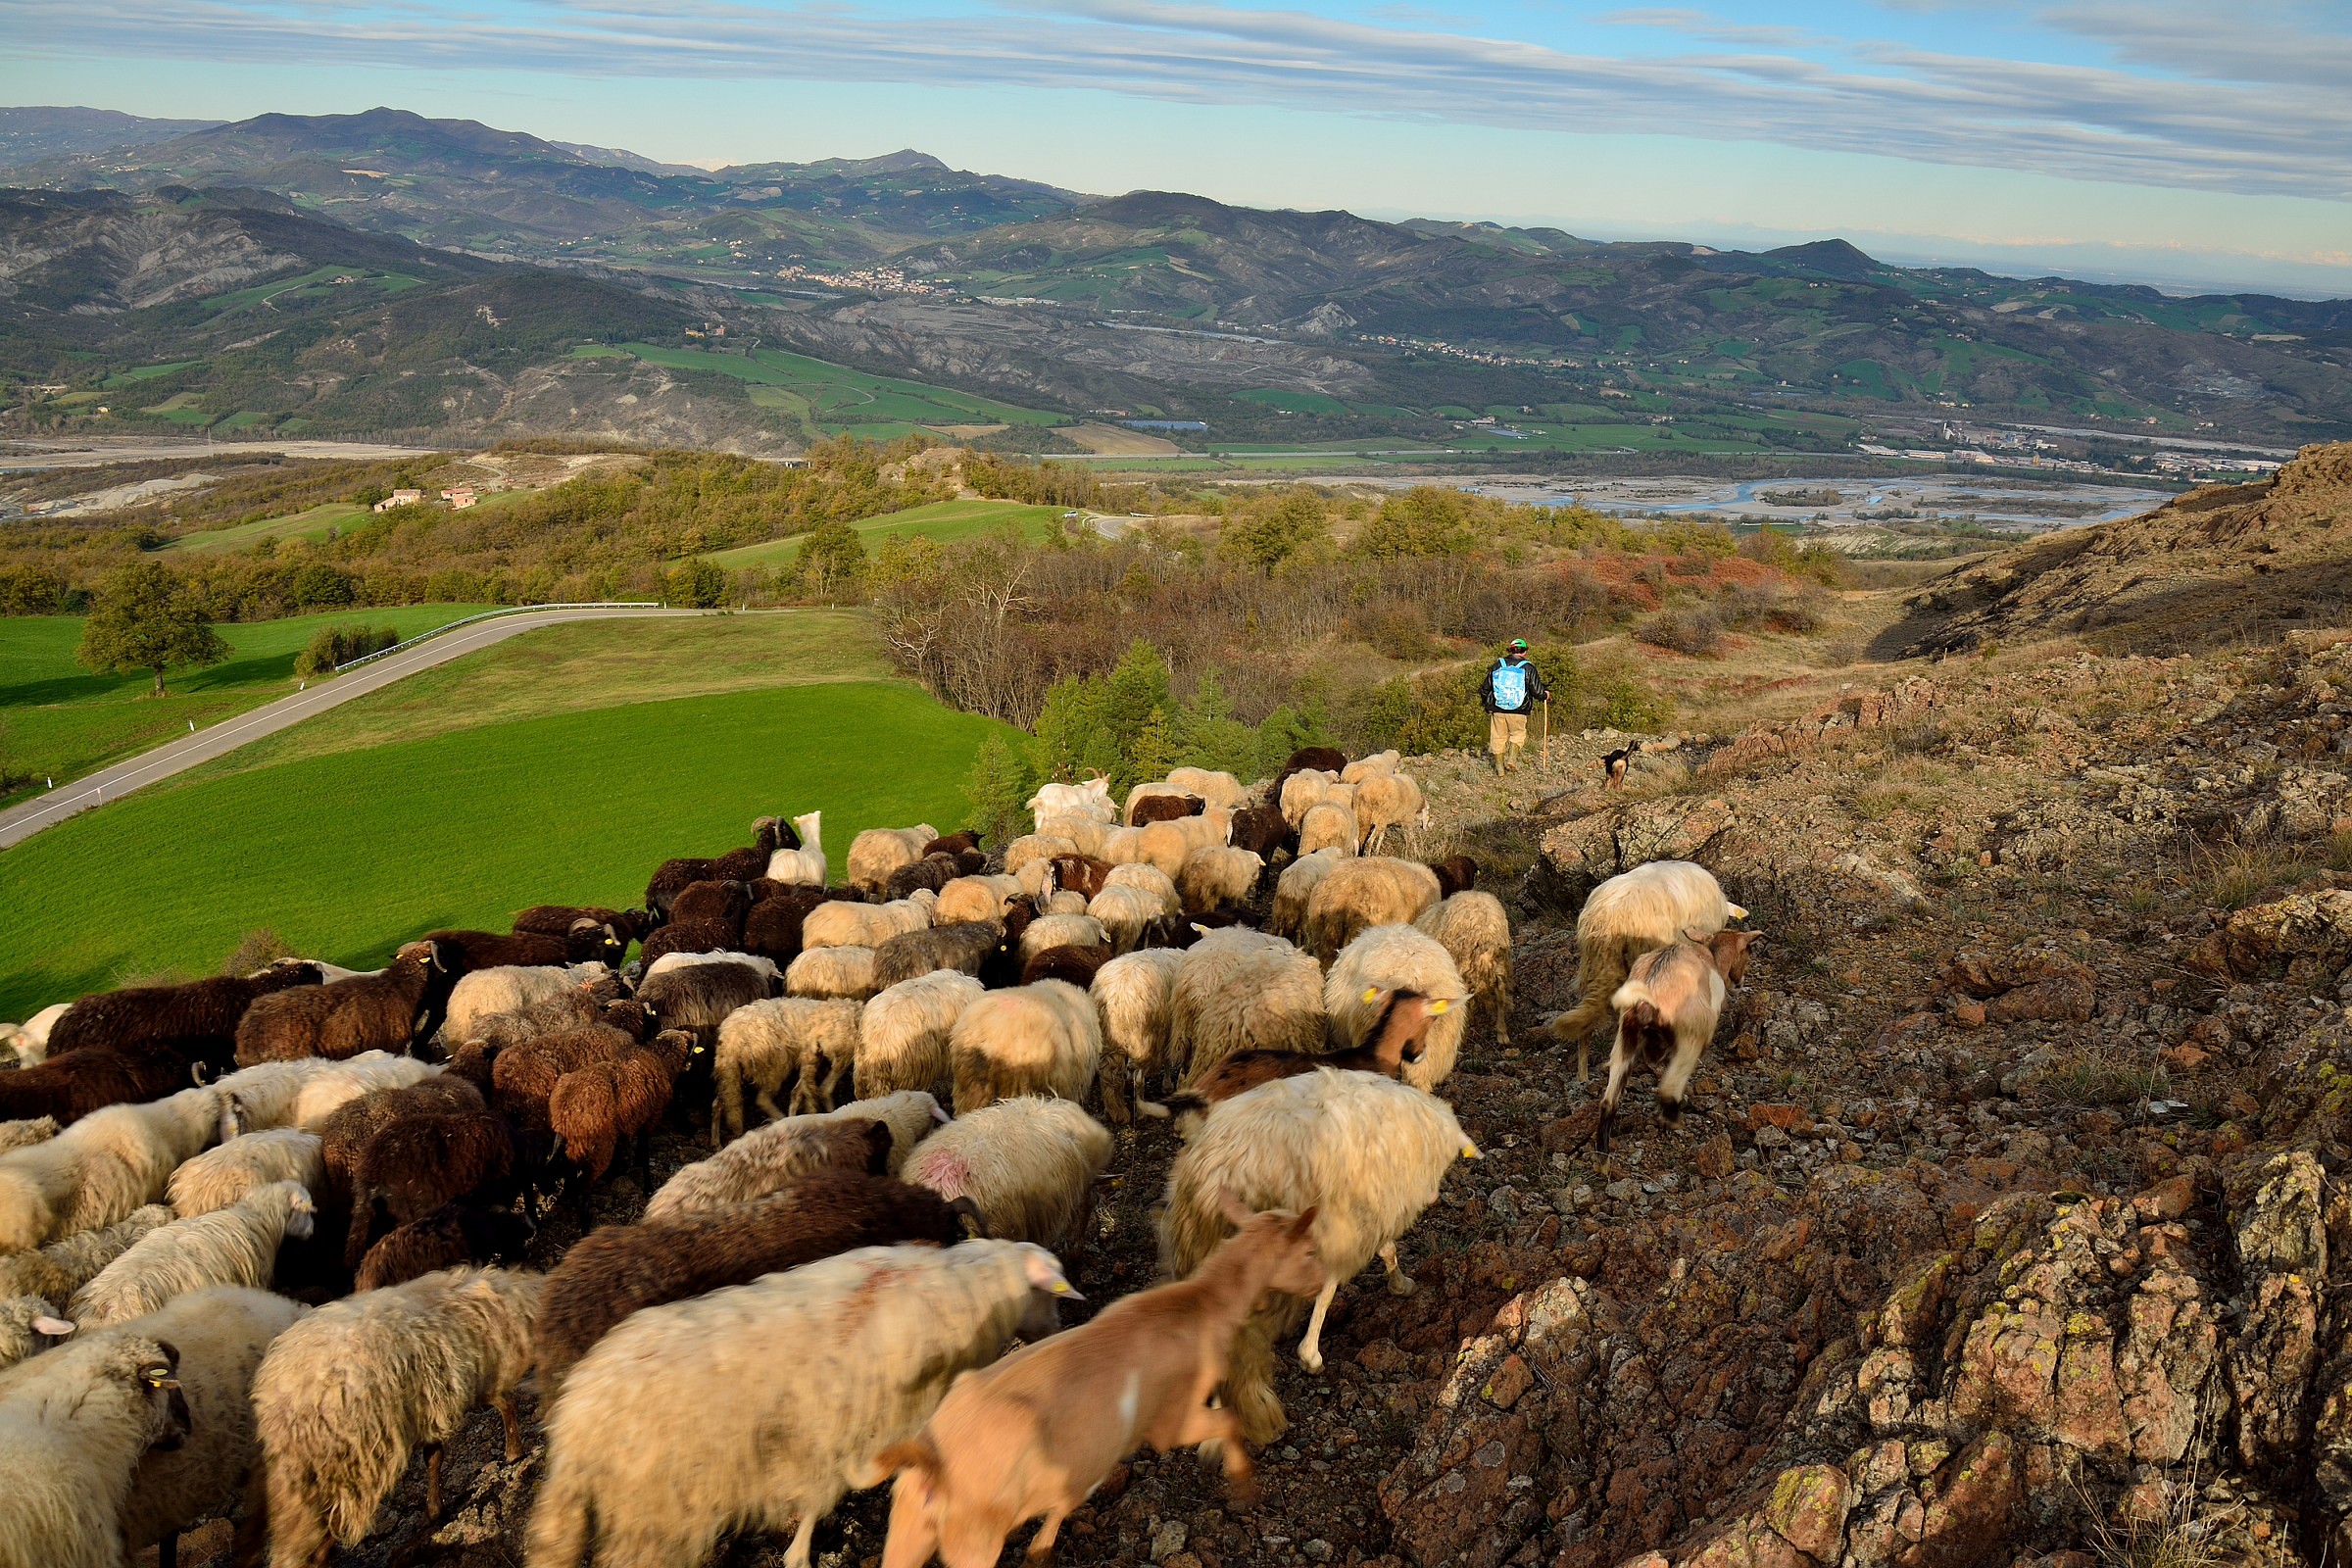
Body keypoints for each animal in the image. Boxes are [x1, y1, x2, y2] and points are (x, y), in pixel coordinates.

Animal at [527, 1241, 1072, 1568]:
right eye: (1052, 1291)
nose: (1057, 1331)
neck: (973, 1289)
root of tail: (577, 1422)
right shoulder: (861, 1425)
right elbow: (823, 1495)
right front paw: (800, 1551)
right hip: (653, 1514)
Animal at [715, 998, 863, 1142]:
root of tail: (732, 1034)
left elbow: (801, 1091)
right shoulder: (836, 1054)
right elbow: (820, 1089)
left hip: (729, 1072)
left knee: (720, 1102)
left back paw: (716, 1142)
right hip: (775, 1066)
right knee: (762, 1099)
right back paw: (782, 1119)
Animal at [877, 1203, 1320, 1565]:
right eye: (1310, 1251)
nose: (1320, 1282)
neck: (1201, 1306)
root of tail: (929, 1459)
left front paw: (1040, 1551)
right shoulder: (1169, 1420)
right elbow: (1228, 1419)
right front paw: (1243, 1487)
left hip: (910, 1525)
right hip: (973, 1538)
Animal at [1089, 948, 1187, 1125]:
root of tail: (1117, 996)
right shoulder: (1167, 1031)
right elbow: (1167, 1060)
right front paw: (1167, 1086)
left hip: (1110, 1041)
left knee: (1107, 1075)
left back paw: (1110, 1110)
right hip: (1144, 1039)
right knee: (1140, 1079)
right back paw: (1141, 1112)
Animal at [1597, 928, 1761, 1150]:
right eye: (1747, 951)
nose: (1740, 983)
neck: (1709, 956)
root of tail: (1648, 999)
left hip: (1625, 1041)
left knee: (1609, 1101)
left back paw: (1602, 1155)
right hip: (1691, 1037)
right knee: (1669, 1088)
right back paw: (1672, 1119)